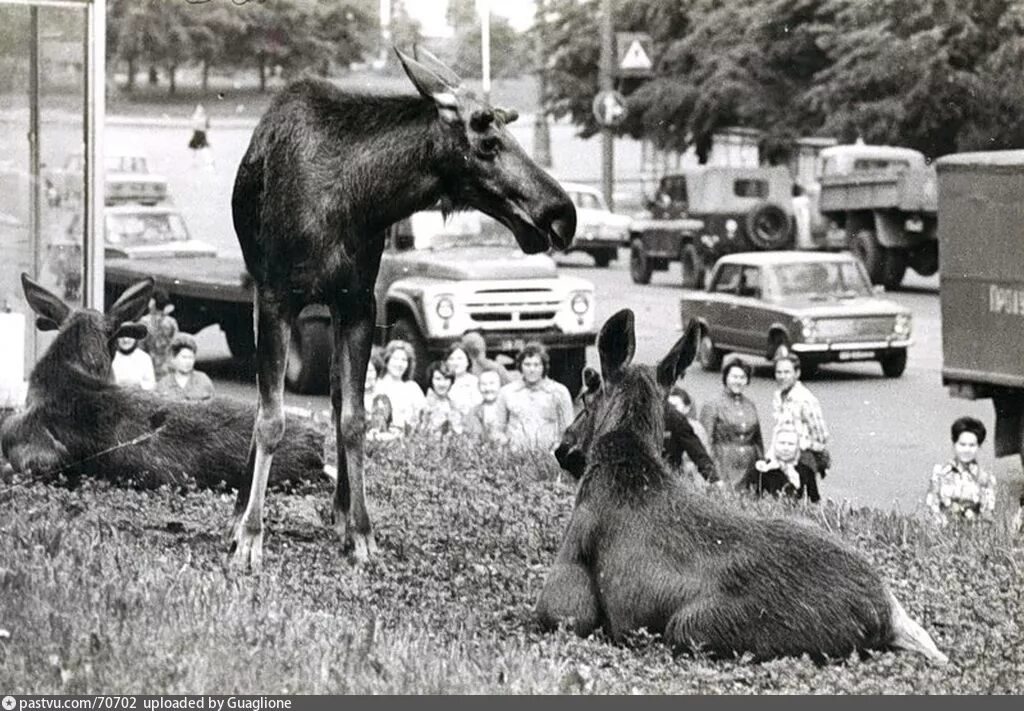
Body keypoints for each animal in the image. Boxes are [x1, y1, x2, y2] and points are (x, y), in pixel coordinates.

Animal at [229, 47, 577, 569]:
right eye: (486, 137)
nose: (563, 214)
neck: (358, 200)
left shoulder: (357, 303)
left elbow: (354, 419)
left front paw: (361, 532)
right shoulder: (275, 298)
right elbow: (271, 419)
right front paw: (249, 536)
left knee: (336, 397)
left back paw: (340, 510)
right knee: (265, 401)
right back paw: (239, 514)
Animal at [540, 311, 946, 667]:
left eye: (587, 391)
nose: (564, 448)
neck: (623, 457)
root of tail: (887, 613)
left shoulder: (565, 600)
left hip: (690, 626)